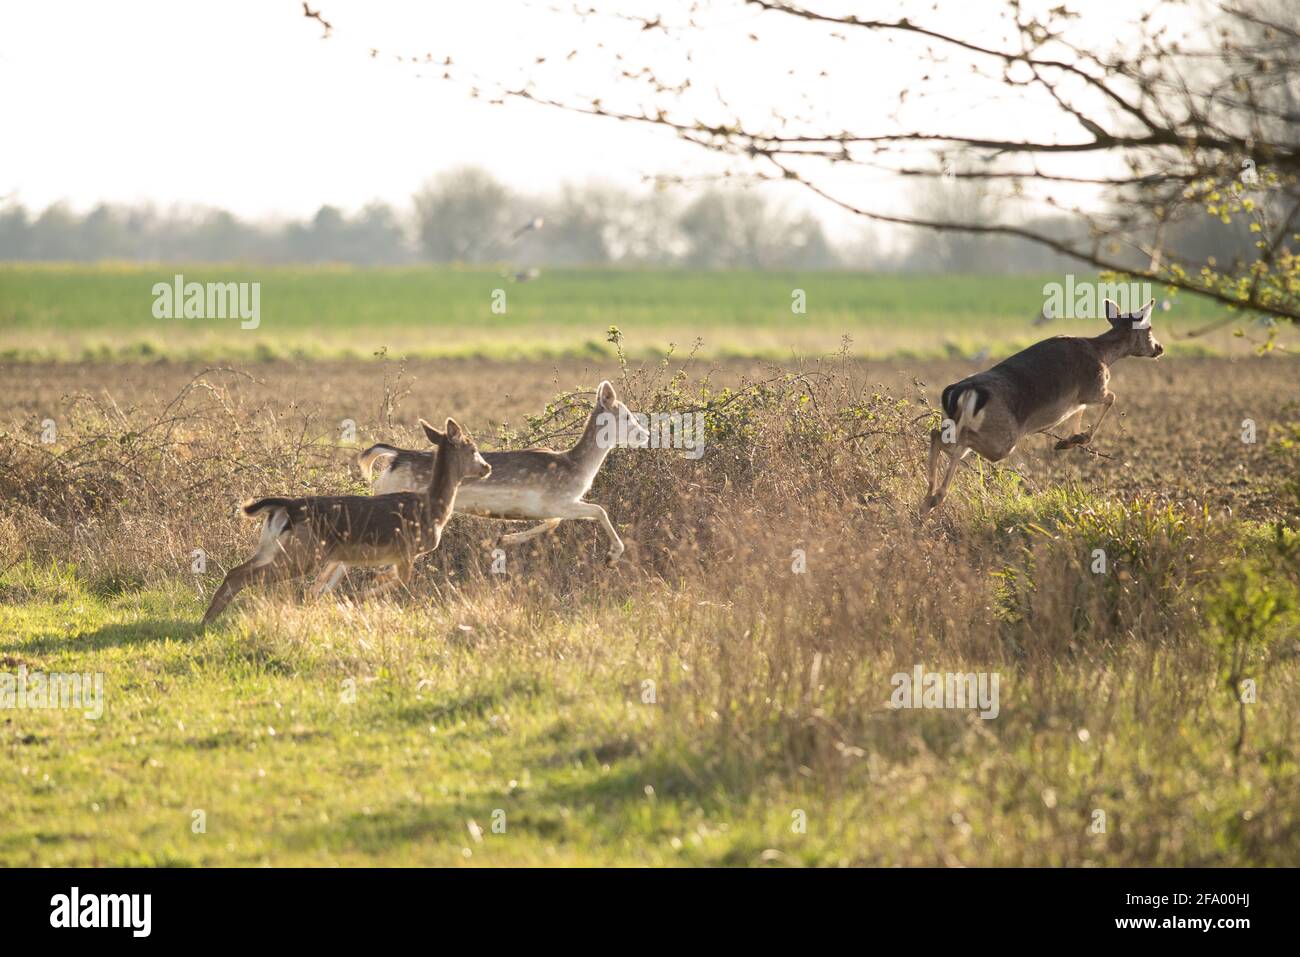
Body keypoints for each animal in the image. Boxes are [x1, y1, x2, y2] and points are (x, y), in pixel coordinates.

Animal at [201, 418, 491, 626]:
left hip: (272, 546)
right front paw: (355, 597)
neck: (434, 509)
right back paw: (209, 619)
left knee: (235, 571)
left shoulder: (352, 556)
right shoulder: (406, 549)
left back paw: (207, 618)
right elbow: (401, 580)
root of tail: (287, 507)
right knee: (247, 576)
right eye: (472, 449)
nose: (487, 467)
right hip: (303, 553)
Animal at [357, 381, 650, 566]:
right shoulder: (558, 499)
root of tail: (396, 458)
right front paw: (612, 557)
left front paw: (506, 538)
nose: (646, 434)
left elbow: (554, 522)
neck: (578, 468)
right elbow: (599, 510)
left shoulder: (553, 505)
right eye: (626, 415)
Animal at [920, 298, 1163, 515]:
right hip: (1002, 437)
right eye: (1149, 327)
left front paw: (1069, 440)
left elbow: (1079, 413)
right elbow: (1112, 397)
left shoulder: (1078, 400)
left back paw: (928, 500)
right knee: (958, 440)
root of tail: (962, 391)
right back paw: (935, 497)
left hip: (958, 425)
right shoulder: (1094, 388)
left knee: (939, 437)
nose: (1159, 347)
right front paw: (1076, 439)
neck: (1103, 354)